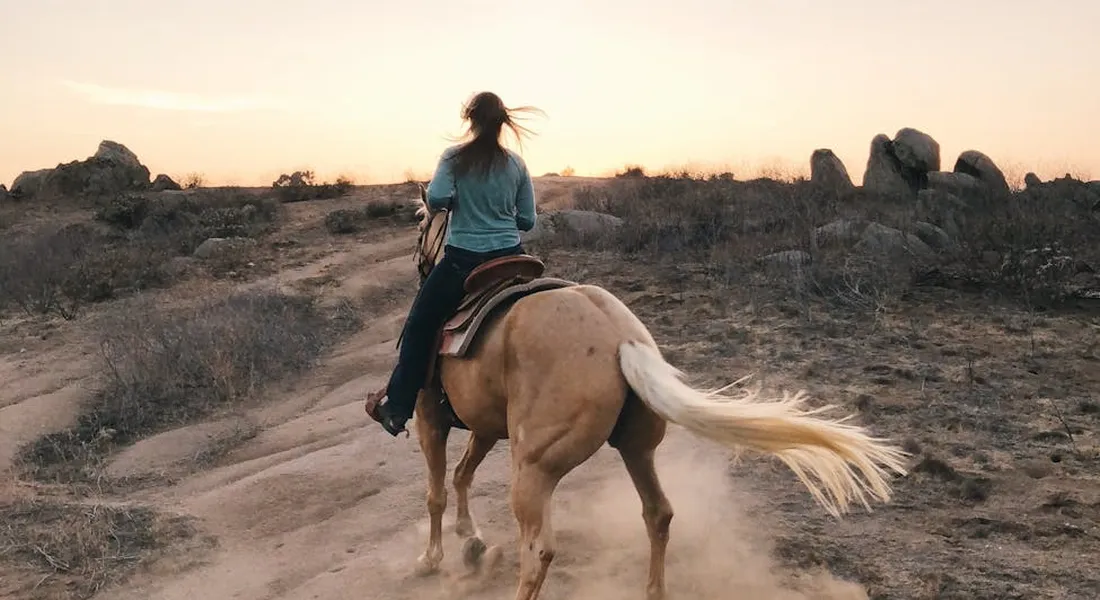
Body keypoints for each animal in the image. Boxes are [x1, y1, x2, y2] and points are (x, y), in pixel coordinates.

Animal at [400, 184, 909, 600]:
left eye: (421, 223)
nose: (421, 266)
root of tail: (619, 337)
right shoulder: (484, 425)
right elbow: (462, 474)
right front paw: (470, 540)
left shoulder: (429, 416)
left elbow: (436, 490)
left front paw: (432, 557)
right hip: (636, 447)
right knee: (658, 514)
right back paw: (654, 590)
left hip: (535, 465)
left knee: (539, 549)